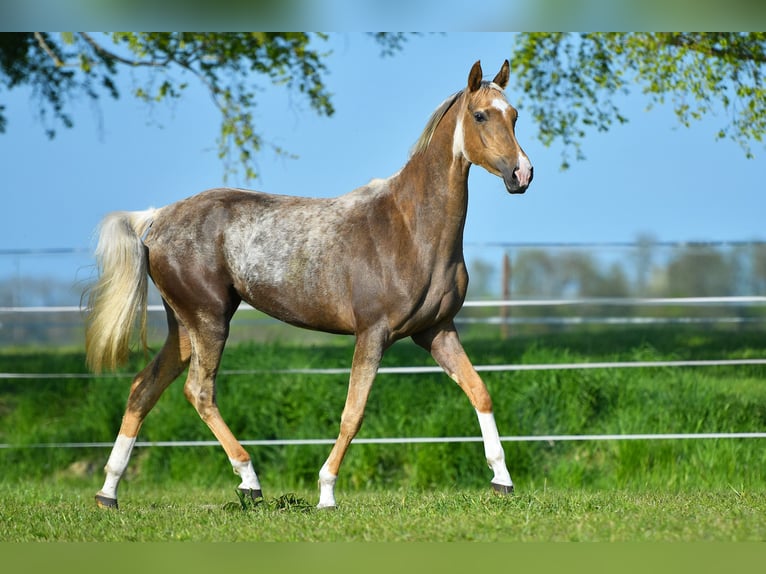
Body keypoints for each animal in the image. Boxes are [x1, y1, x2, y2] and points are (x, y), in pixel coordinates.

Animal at [85, 60, 536, 510]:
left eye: (514, 115)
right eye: (480, 115)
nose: (522, 174)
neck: (411, 229)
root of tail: (157, 217)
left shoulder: (436, 331)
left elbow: (479, 391)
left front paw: (502, 479)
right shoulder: (373, 334)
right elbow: (353, 413)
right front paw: (326, 492)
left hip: (184, 327)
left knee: (143, 388)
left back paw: (109, 491)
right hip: (209, 322)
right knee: (199, 392)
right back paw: (249, 481)